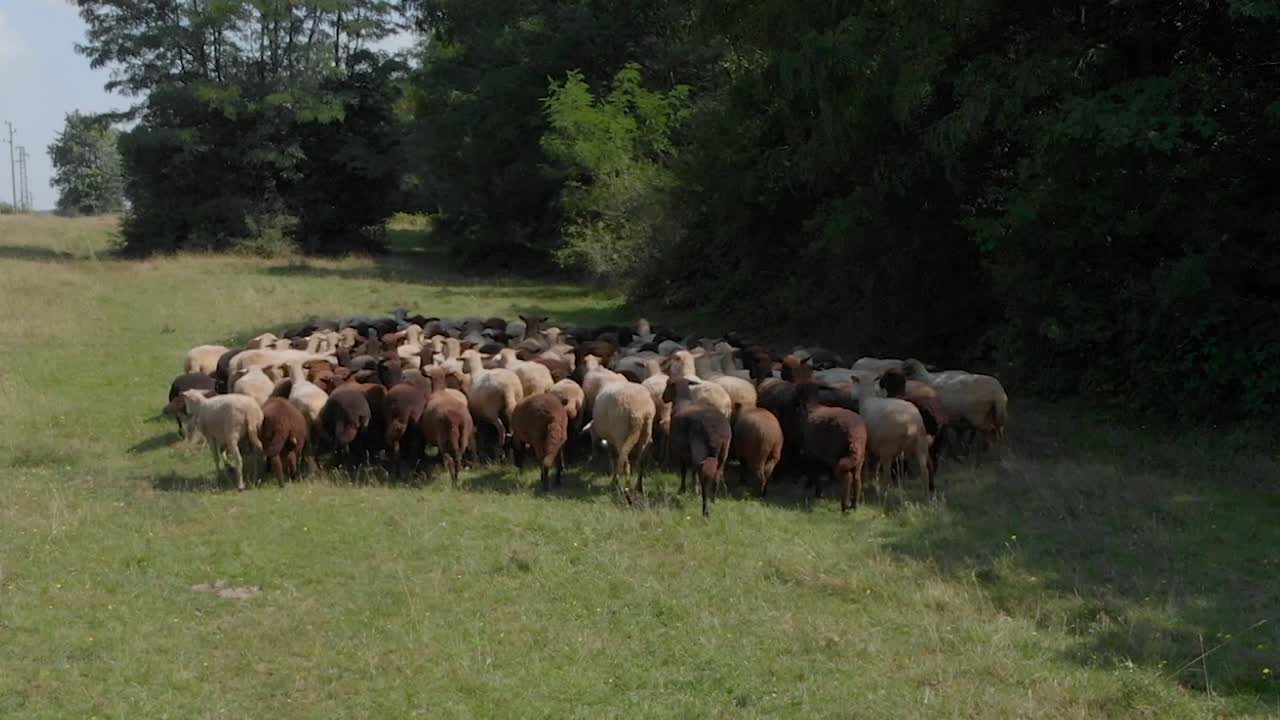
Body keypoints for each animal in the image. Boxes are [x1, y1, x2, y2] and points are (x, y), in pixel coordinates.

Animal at [662, 378, 732, 516]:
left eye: (667, 385)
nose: (663, 398)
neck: (682, 402)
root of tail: (720, 434)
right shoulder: (690, 452)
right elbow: (693, 471)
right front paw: (694, 489)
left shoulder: (682, 451)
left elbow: (684, 470)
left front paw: (682, 490)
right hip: (723, 453)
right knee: (717, 474)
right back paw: (713, 500)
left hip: (701, 451)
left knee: (705, 476)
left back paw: (705, 510)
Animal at [789, 383, 868, 512]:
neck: (811, 407)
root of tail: (855, 435)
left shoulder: (812, 453)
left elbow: (815, 473)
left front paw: (818, 493)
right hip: (859, 457)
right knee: (857, 478)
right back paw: (854, 505)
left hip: (837, 455)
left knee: (847, 478)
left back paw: (844, 506)